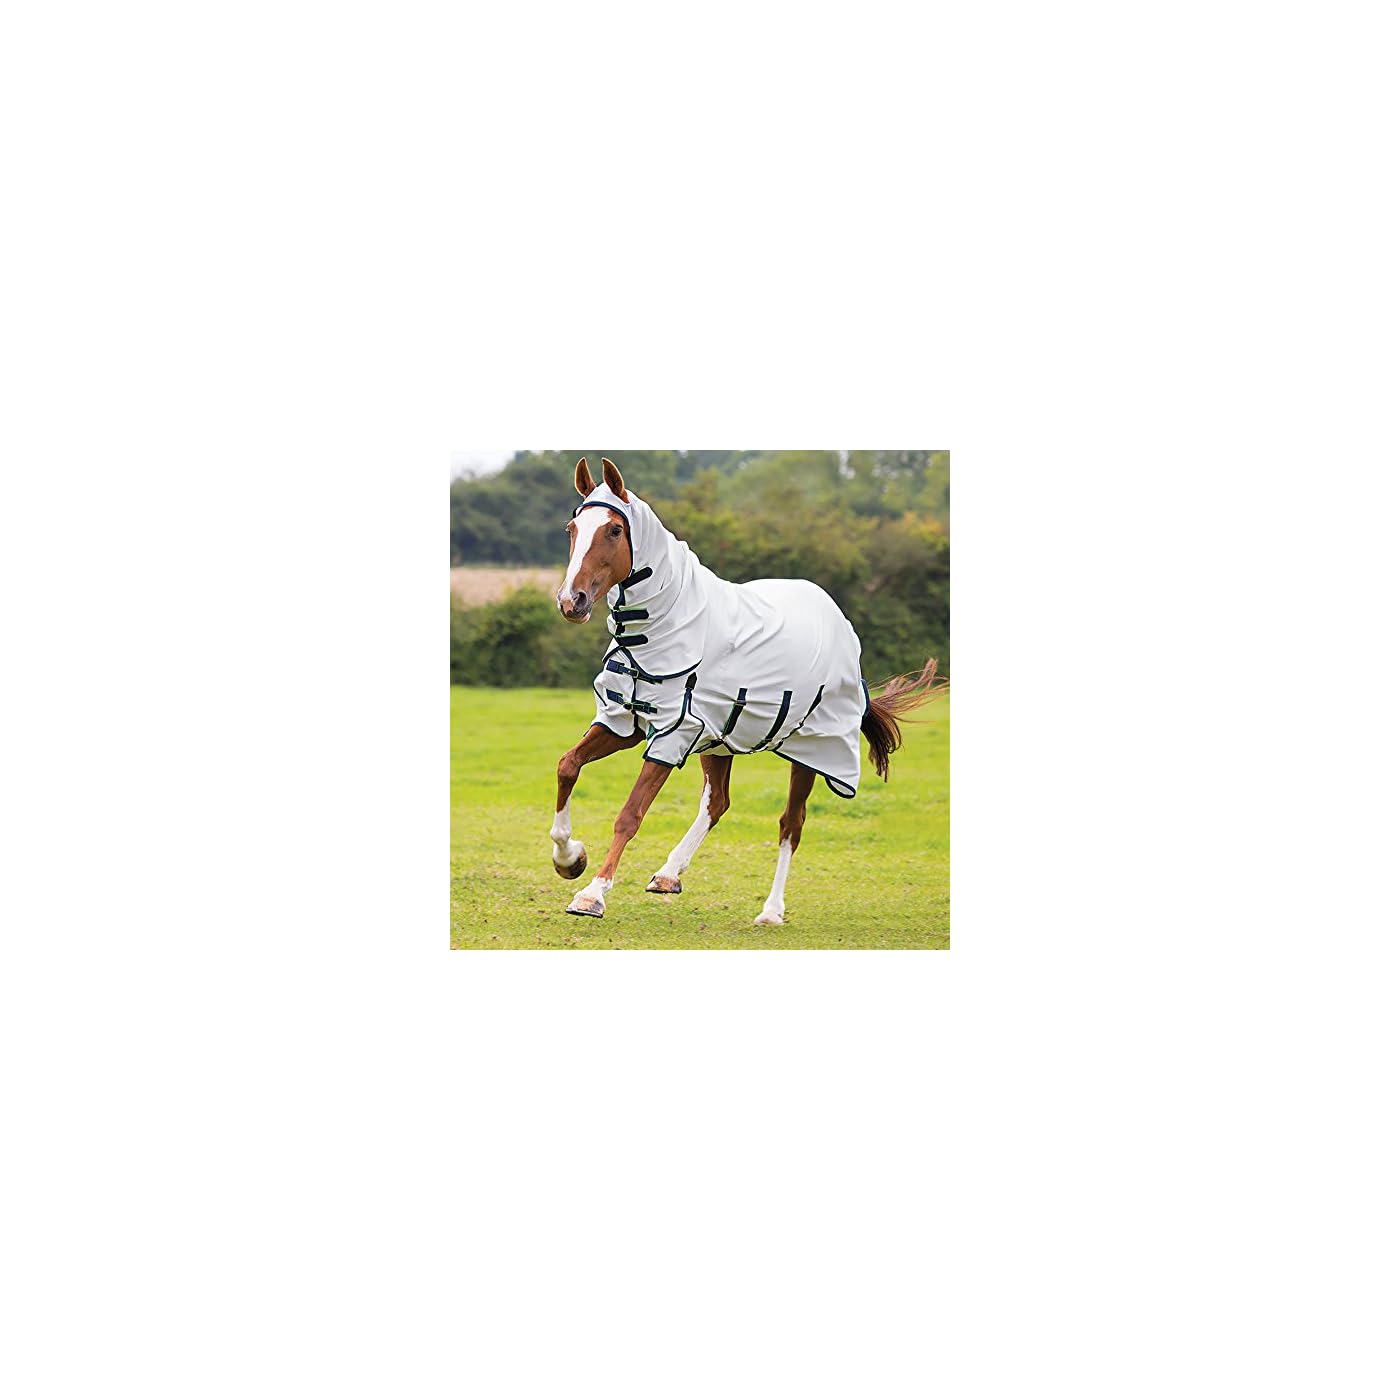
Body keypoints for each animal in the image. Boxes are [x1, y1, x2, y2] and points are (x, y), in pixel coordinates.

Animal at [549, 456, 941, 925]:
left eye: (613, 530)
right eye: (572, 529)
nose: (571, 601)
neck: (666, 626)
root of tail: (839, 622)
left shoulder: (672, 733)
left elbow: (630, 814)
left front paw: (592, 894)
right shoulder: (627, 722)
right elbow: (568, 766)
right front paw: (569, 859)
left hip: (811, 751)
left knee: (791, 823)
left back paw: (771, 911)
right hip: (718, 740)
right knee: (717, 802)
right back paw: (668, 874)